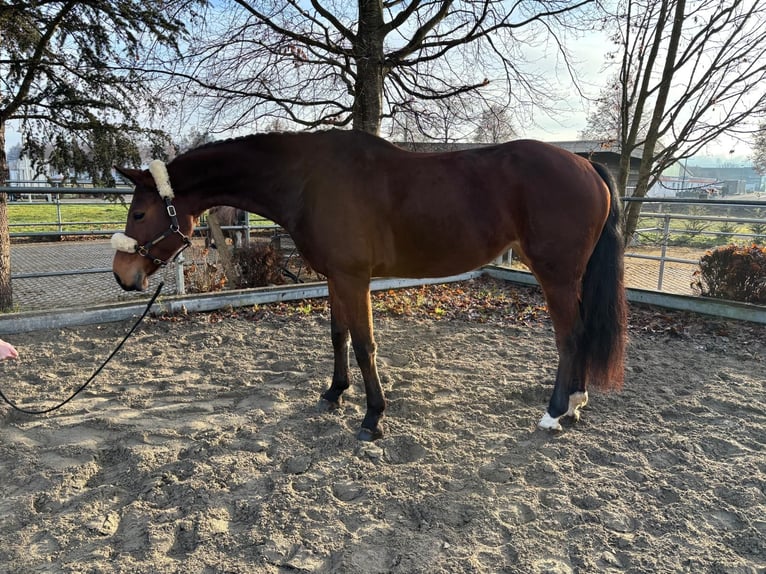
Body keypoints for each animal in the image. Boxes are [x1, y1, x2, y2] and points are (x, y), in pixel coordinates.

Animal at [111, 129, 627, 441]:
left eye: (139, 212)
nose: (122, 274)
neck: (308, 182)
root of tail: (587, 165)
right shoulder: (336, 278)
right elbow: (338, 336)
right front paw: (334, 394)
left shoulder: (354, 278)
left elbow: (364, 345)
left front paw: (373, 418)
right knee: (580, 333)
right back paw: (576, 403)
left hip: (555, 275)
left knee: (569, 337)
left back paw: (555, 411)